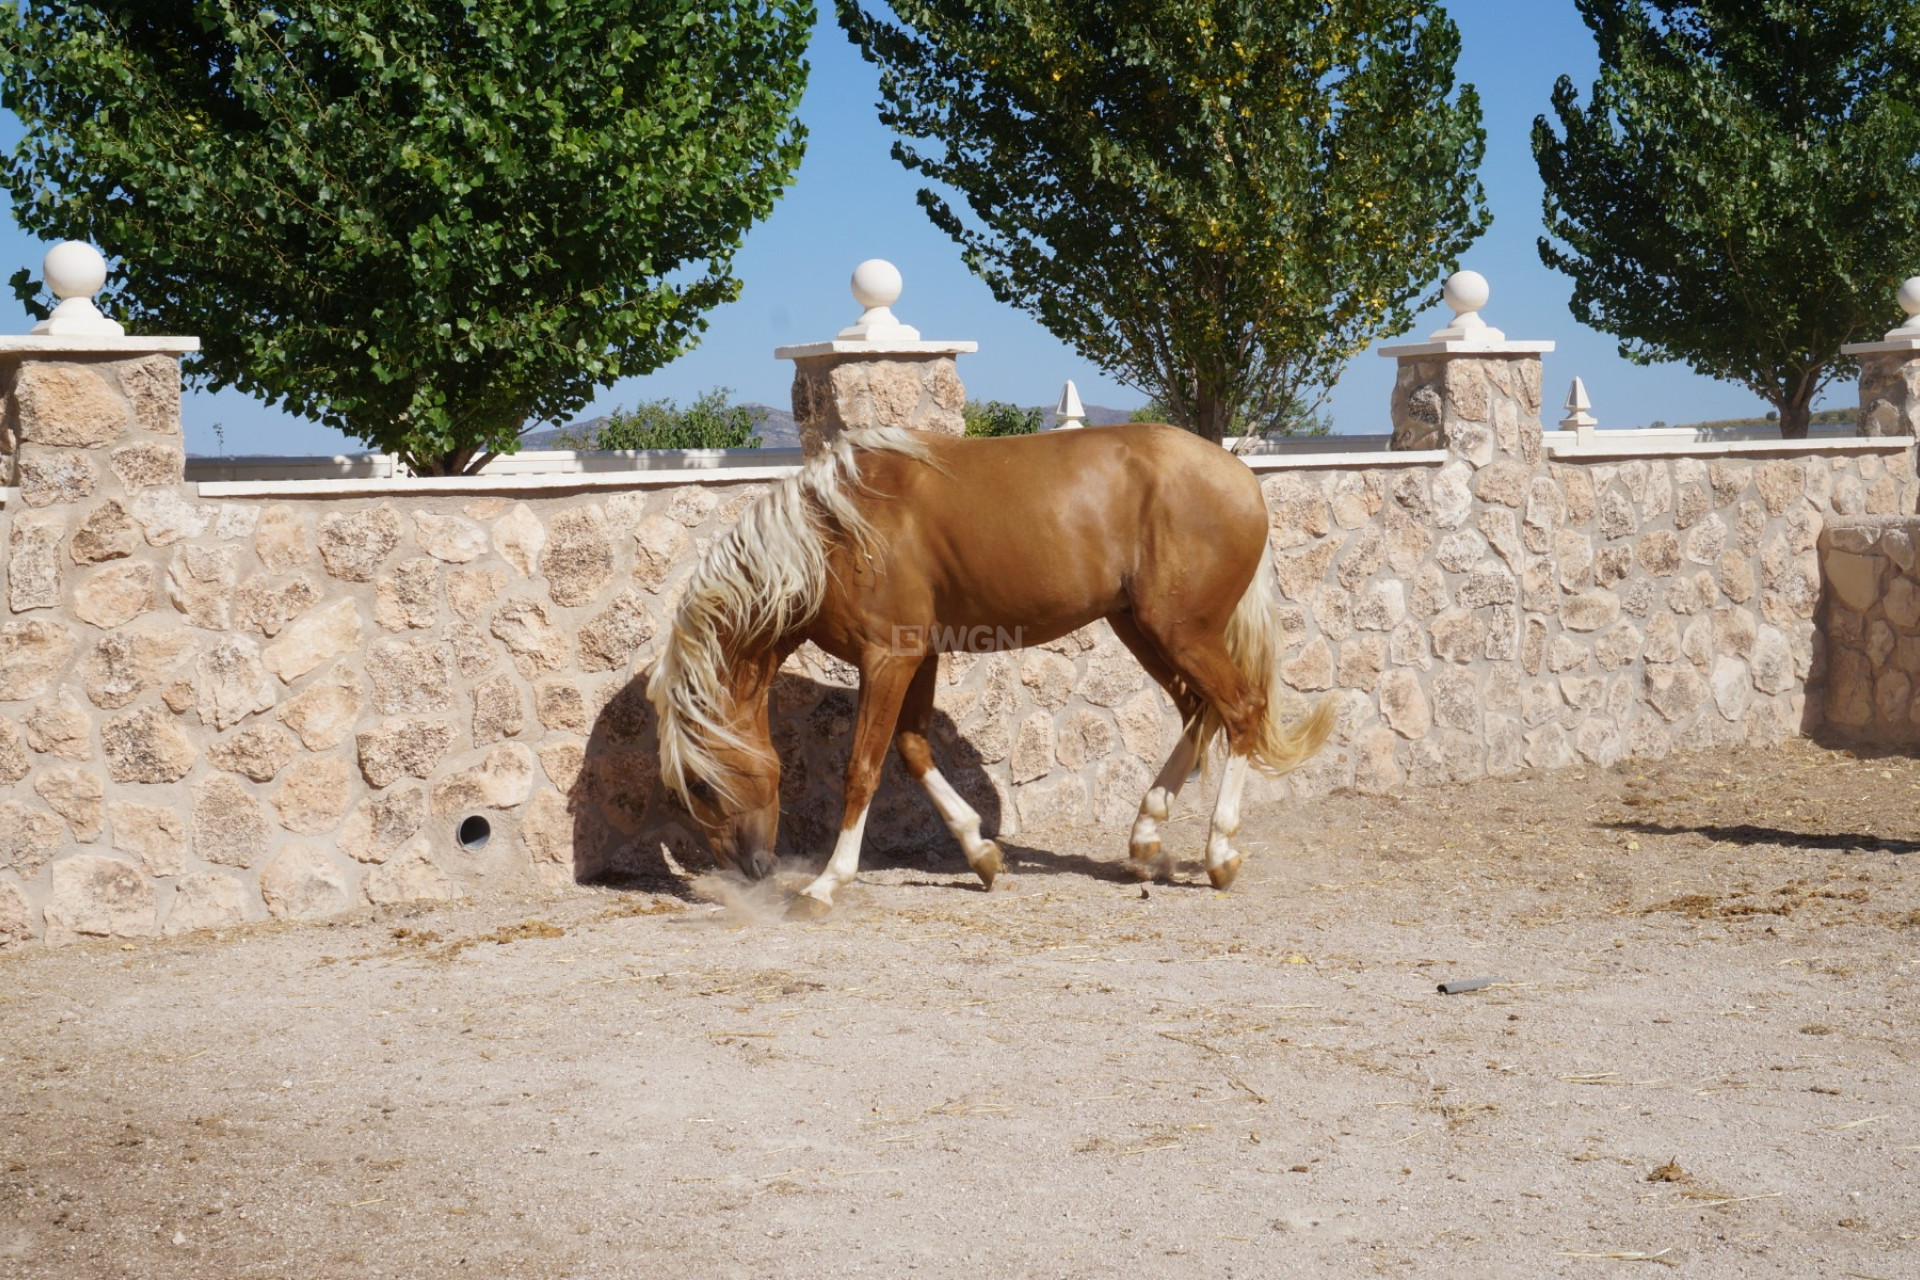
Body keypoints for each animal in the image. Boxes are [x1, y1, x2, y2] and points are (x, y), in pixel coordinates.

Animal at [648, 426, 1336, 917]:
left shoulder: (888, 656)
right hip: (1140, 628)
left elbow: (862, 769)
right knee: (1200, 712)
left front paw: (824, 886)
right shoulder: (919, 654)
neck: (835, 534)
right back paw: (1144, 841)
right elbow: (913, 749)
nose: (750, 870)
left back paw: (1219, 853)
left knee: (1240, 710)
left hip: (1180, 631)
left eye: (701, 786)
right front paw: (981, 854)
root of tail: (1239, 474)